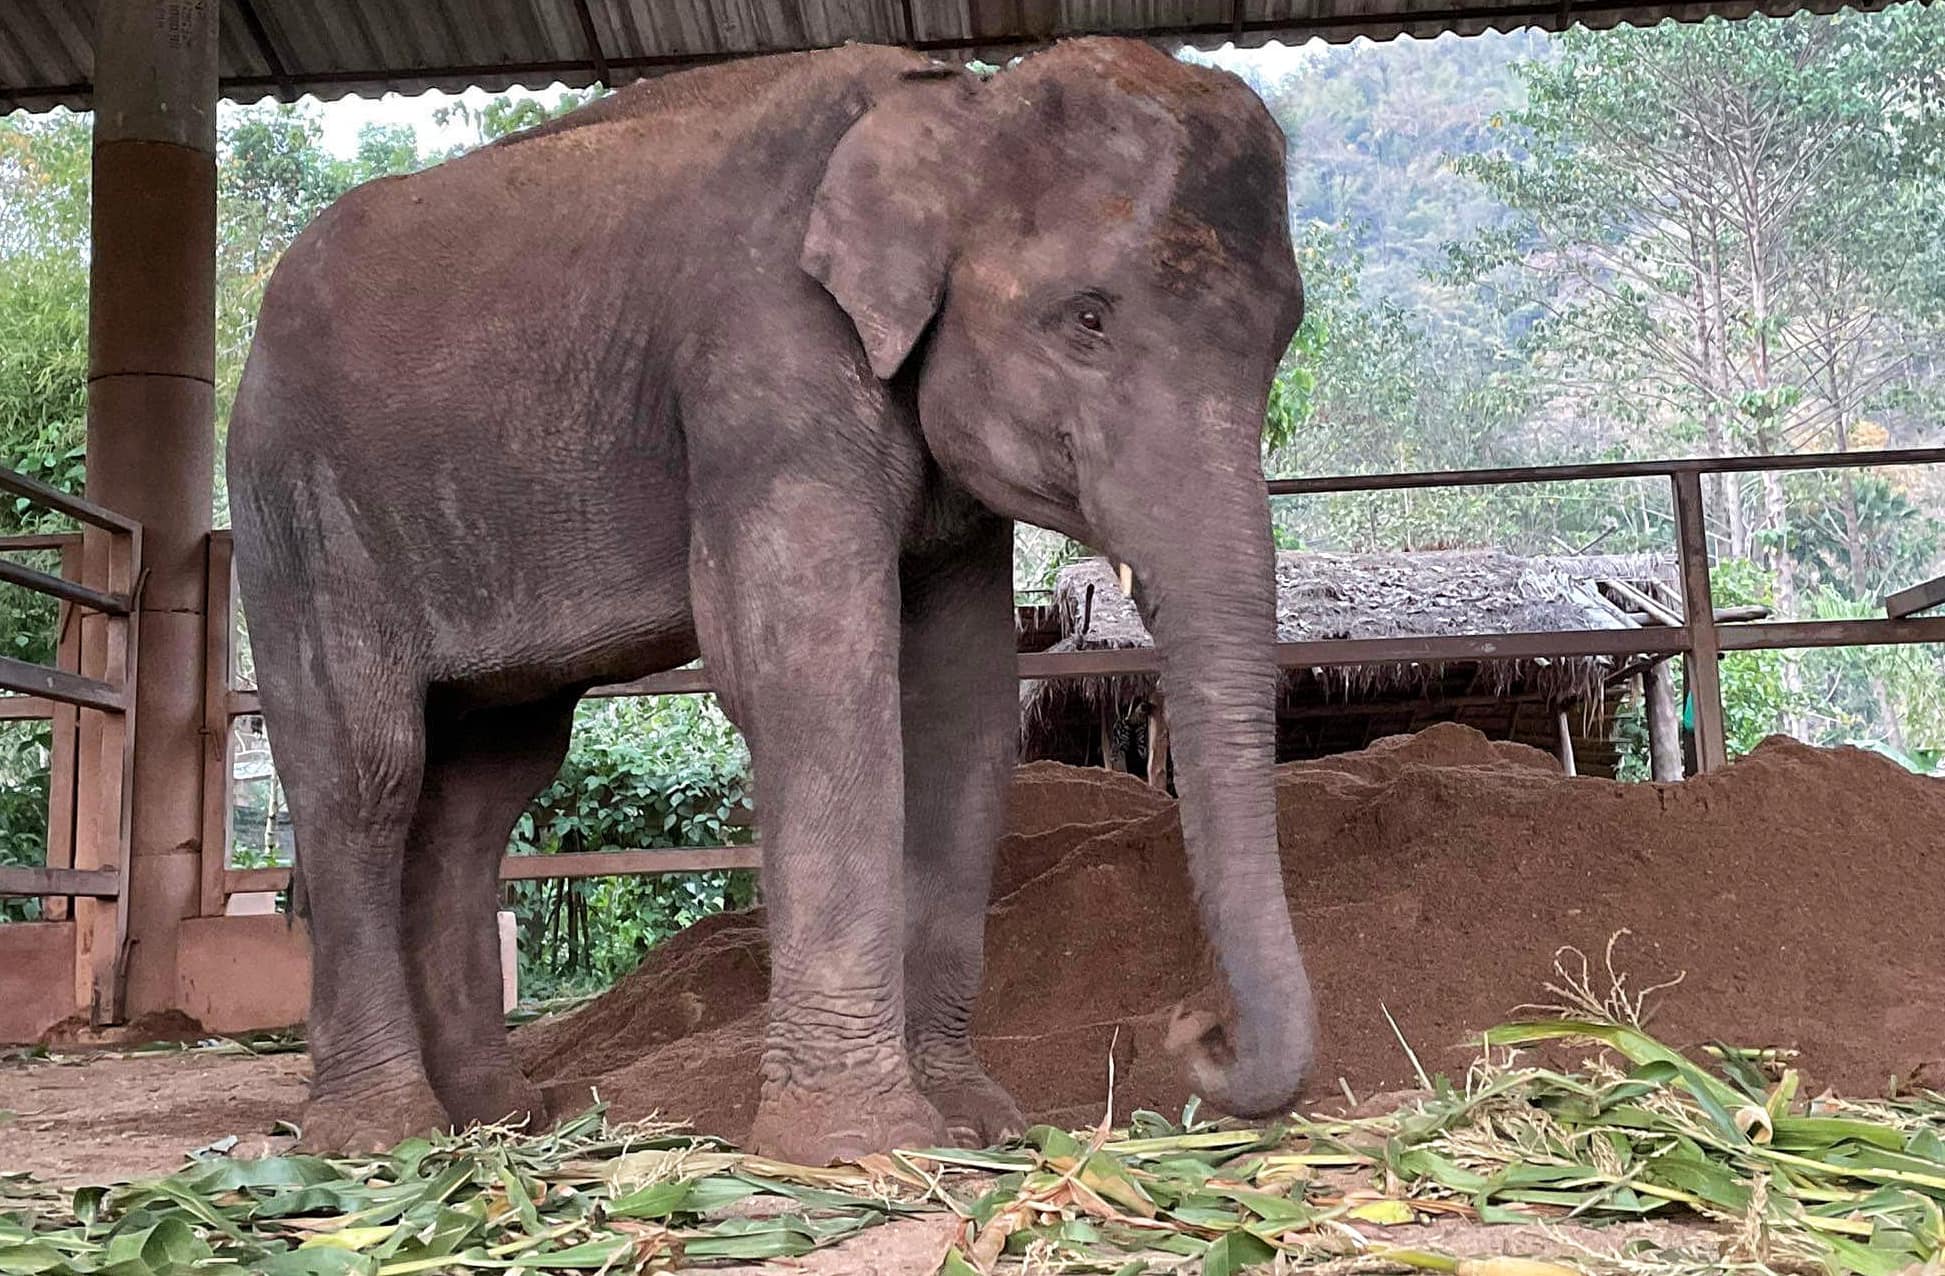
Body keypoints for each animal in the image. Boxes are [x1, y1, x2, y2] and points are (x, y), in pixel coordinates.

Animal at [231, 32, 1322, 1167]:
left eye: (1282, 336)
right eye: (1088, 319)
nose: (1195, 1033)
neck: (957, 106)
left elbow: (960, 709)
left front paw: (975, 1124)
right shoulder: (765, 365)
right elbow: (812, 677)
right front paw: (859, 1146)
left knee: (486, 783)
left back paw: (492, 1119)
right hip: (298, 505)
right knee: (368, 768)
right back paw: (378, 1140)